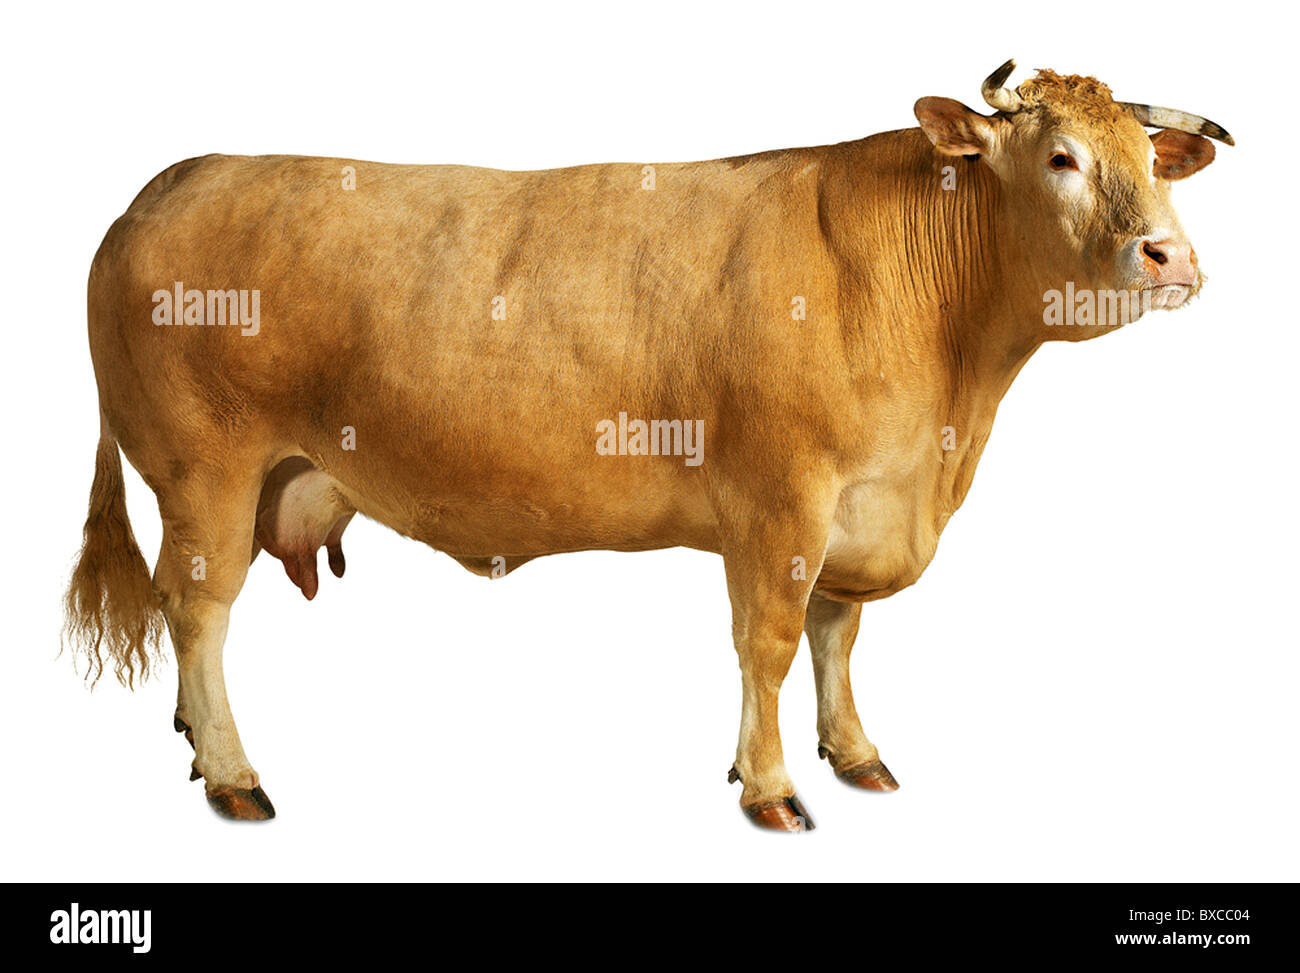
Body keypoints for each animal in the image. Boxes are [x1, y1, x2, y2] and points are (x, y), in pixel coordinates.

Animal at [65, 60, 1231, 830]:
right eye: (1061, 157)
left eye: (1149, 159)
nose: (1170, 256)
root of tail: (166, 183)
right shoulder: (779, 502)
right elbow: (768, 642)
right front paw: (770, 787)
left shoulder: (862, 505)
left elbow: (838, 635)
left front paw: (854, 752)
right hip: (205, 469)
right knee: (196, 606)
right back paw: (233, 773)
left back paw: (195, 743)